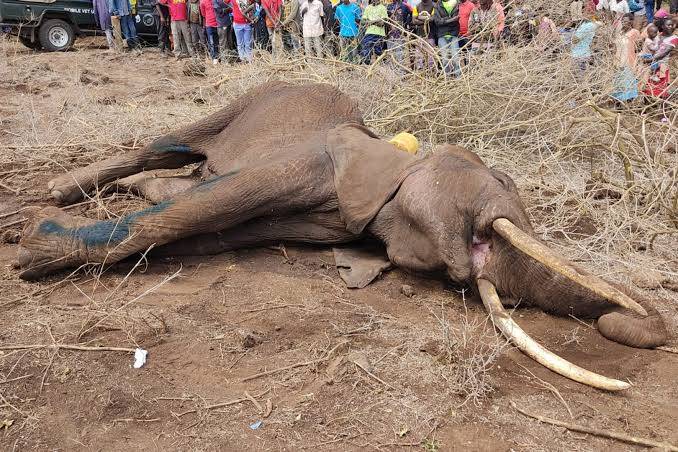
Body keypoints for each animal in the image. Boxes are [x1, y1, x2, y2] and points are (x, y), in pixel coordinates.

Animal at [16, 82, 668, 391]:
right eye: (503, 180)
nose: (623, 324)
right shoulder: (309, 165)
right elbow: (204, 207)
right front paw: (32, 250)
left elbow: (206, 233)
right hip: (252, 96)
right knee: (169, 141)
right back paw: (61, 187)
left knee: (180, 168)